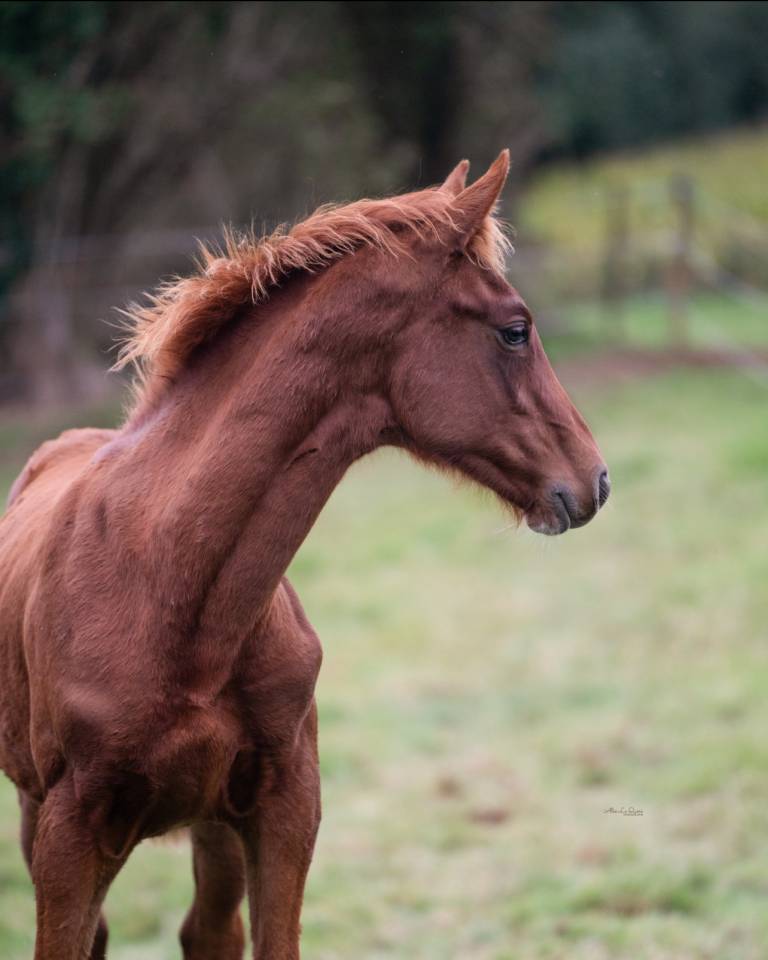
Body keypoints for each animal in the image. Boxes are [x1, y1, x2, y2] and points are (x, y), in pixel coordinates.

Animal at [0, 150, 609, 959]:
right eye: (515, 330)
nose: (595, 479)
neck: (169, 588)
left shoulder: (285, 808)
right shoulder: (71, 834)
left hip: (210, 827)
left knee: (208, 932)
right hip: (39, 813)